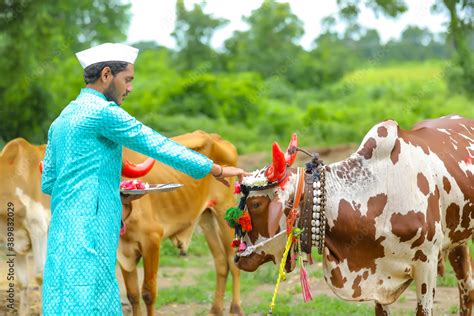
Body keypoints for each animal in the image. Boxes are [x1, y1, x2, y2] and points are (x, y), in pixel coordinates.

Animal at [117, 131, 243, 316]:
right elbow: (132, 295)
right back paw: (215, 310)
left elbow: (148, 293)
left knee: (232, 260)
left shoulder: (152, 241)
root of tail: (215, 137)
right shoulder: (123, 251)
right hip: (206, 218)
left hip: (225, 211)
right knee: (221, 262)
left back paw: (235, 309)